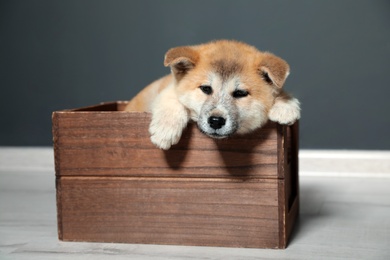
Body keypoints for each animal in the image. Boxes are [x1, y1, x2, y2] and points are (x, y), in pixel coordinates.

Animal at [125, 39, 302, 149]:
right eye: (206, 89)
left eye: (240, 93)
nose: (216, 121)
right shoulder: (167, 88)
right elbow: (172, 98)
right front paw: (166, 129)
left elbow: (280, 92)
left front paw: (285, 106)